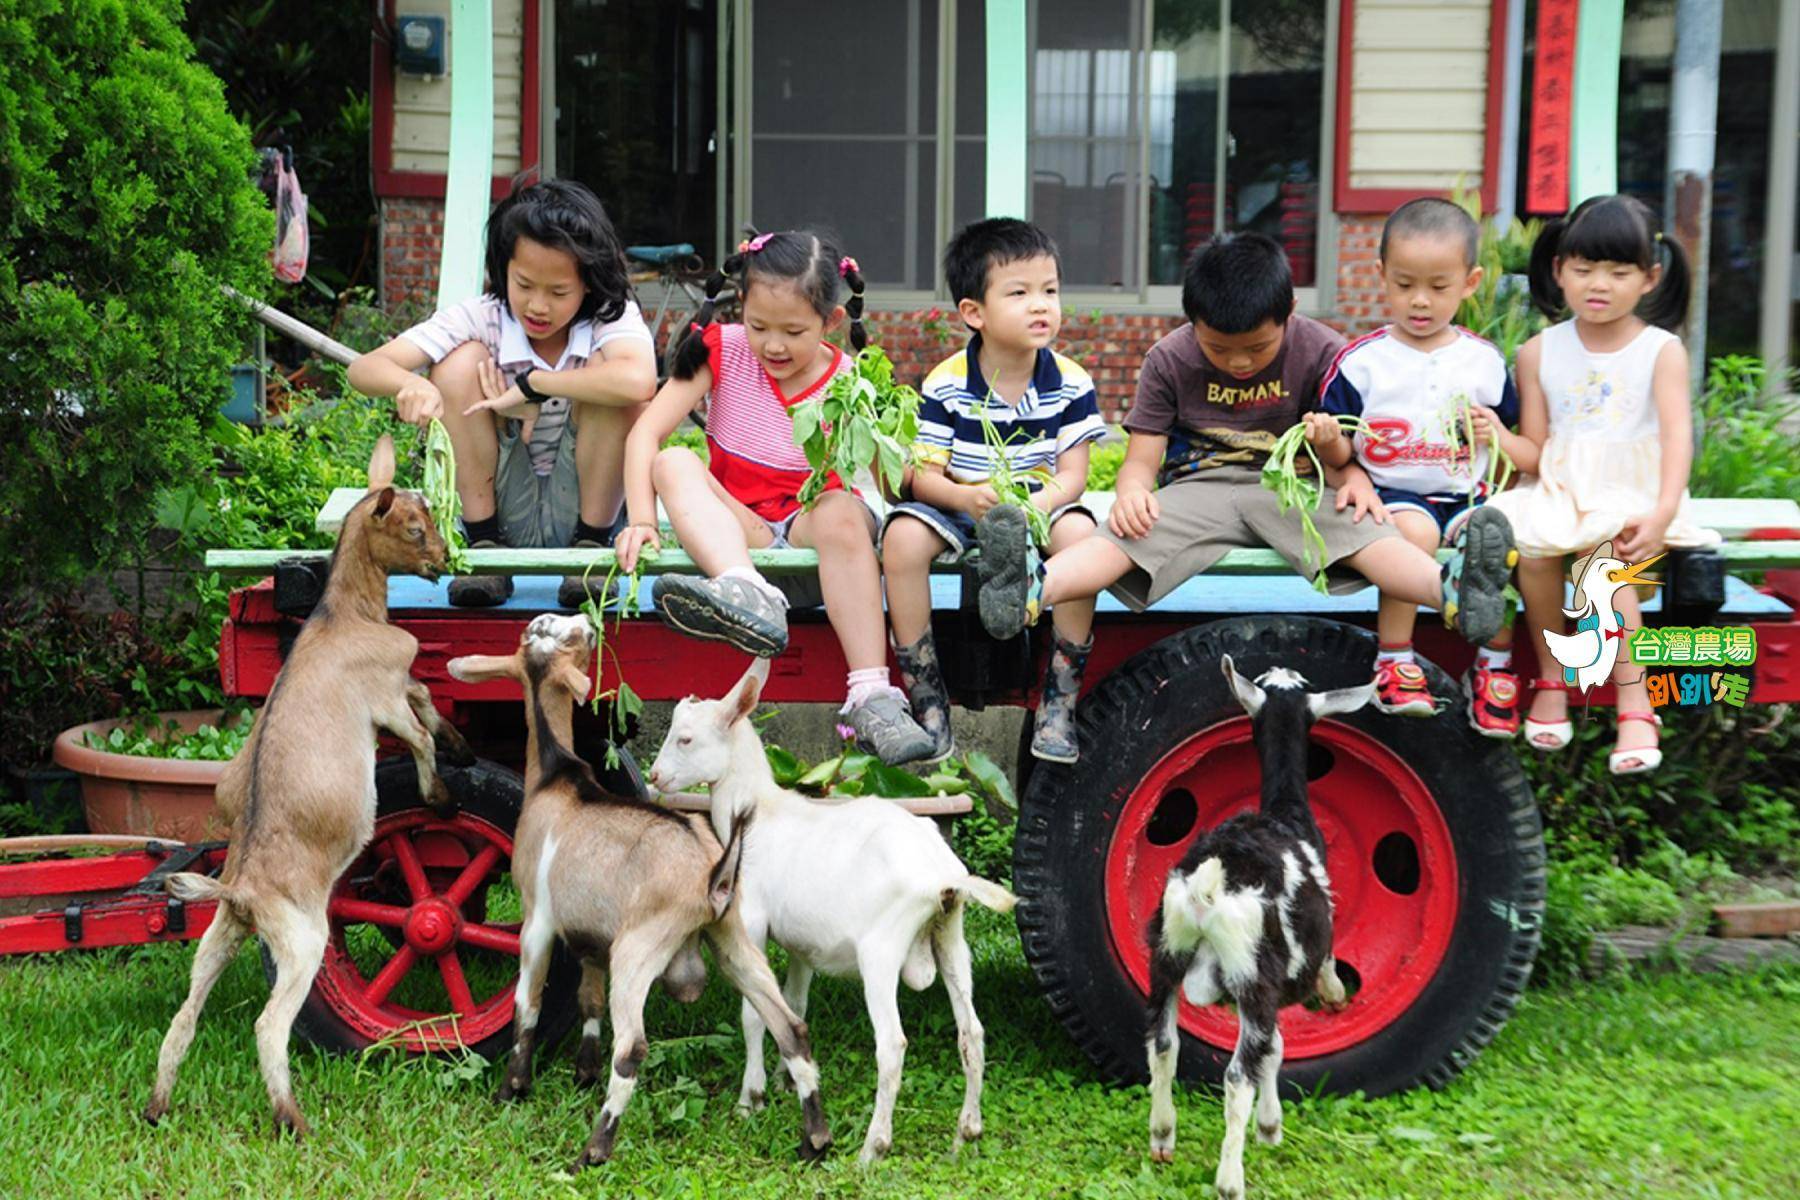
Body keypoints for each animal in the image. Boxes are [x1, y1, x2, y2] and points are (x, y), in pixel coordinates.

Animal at [144, 437, 475, 1144]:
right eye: (414, 527)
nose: (442, 559)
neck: (342, 615)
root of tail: (240, 889)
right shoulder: (383, 695)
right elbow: (420, 729)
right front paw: (441, 794)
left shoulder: (398, 686)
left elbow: (429, 705)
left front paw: (460, 745)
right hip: (302, 940)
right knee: (269, 1024)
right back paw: (291, 1118)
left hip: (219, 938)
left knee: (184, 1017)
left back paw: (158, 1106)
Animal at [644, 658, 1015, 1165]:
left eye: (684, 739)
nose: (655, 777)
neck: (756, 814)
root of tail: (944, 875)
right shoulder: (802, 947)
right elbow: (794, 1004)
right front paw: (789, 1079)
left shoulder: (752, 922)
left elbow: (754, 1013)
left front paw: (751, 1098)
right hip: (951, 937)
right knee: (972, 1032)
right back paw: (966, 1133)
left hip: (881, 951)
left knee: (893, 1044)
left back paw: (872, 1149)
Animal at [1144, 658, 1368, 1200]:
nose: (1280, 669)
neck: (1287, 813)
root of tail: (1209, 885)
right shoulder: (1290, 966)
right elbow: (1276, 1046)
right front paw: (1270, 1126)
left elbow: (1271, 1046)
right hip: (1250, 969)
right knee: (1236, 1076)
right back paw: (1230, 1180)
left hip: (1167, 951)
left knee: (1163, 1044)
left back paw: (1162, 1137)